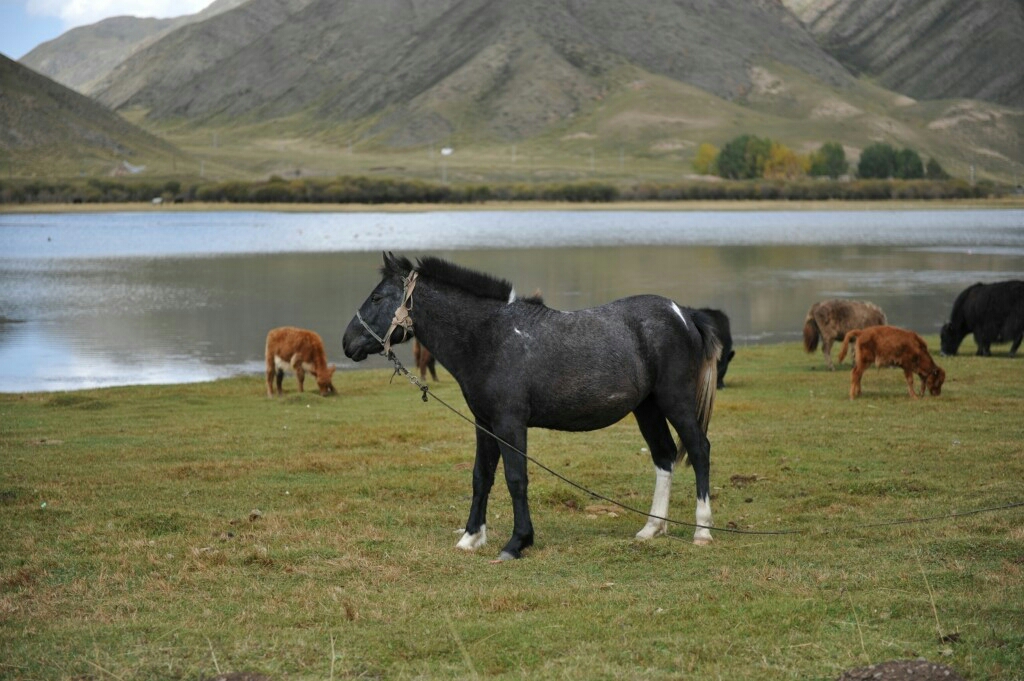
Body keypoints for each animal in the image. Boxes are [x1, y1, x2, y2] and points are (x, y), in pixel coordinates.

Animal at [344, 251, 720, 561]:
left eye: (377, 296)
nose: (348, 343)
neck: (491, 337)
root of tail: (683, 314)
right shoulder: (485, 423)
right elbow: (482, 476)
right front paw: (470, 538)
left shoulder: (510, 423)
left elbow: (515, 478)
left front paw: (517, 543)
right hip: (648, 408)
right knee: (664, 455)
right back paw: (652, 528)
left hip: (675, 400)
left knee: (698, 449)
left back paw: (702, 530)